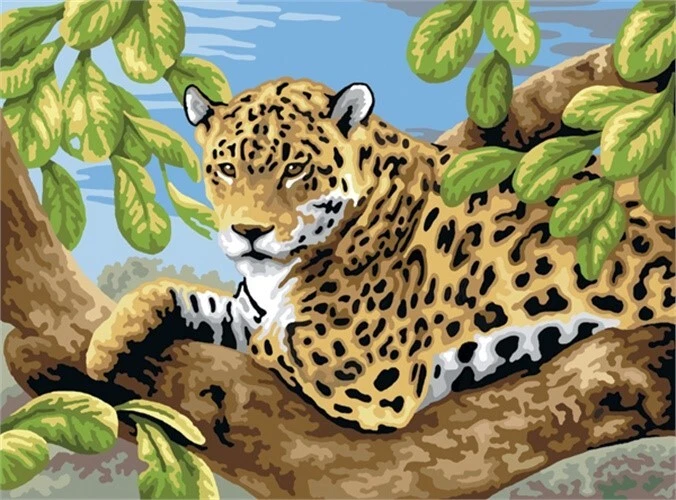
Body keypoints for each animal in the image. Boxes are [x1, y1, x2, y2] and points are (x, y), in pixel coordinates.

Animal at [87, 78, 675, 432]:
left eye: (295, 169)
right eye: (226, 169)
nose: (248, 231)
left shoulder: (364, 371)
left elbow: (269, 339)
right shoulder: (249, 308)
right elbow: (186, 297)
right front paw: (104, 346)